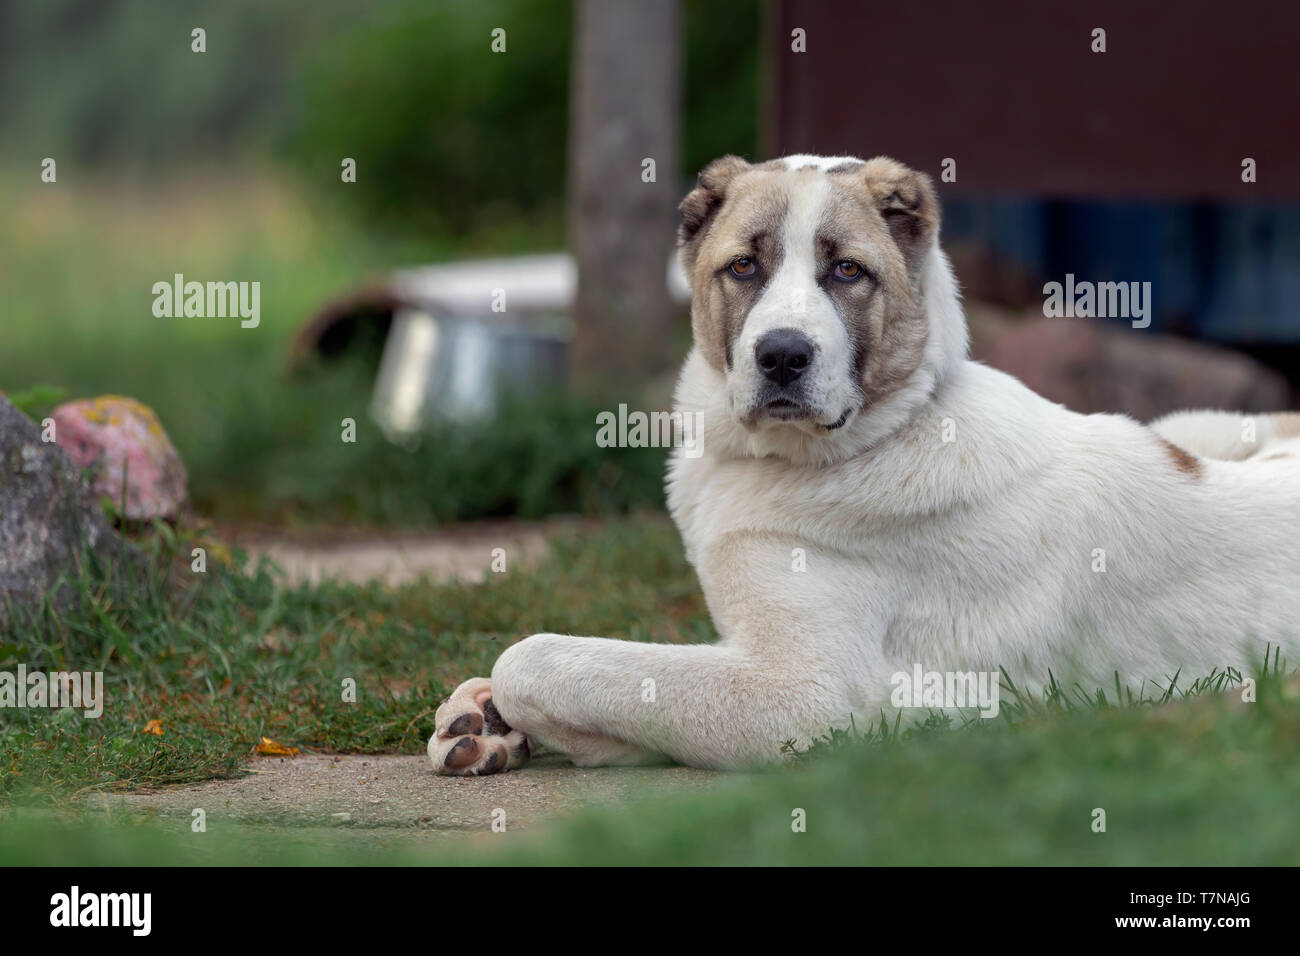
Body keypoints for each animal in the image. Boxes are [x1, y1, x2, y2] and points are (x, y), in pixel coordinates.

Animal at [428, 153, 1300, 775]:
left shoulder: (804, 695)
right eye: (744, 267)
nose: (783, 355)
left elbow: (542, 657)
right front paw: (483, 720)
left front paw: (511, 704)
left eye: (847, 271)